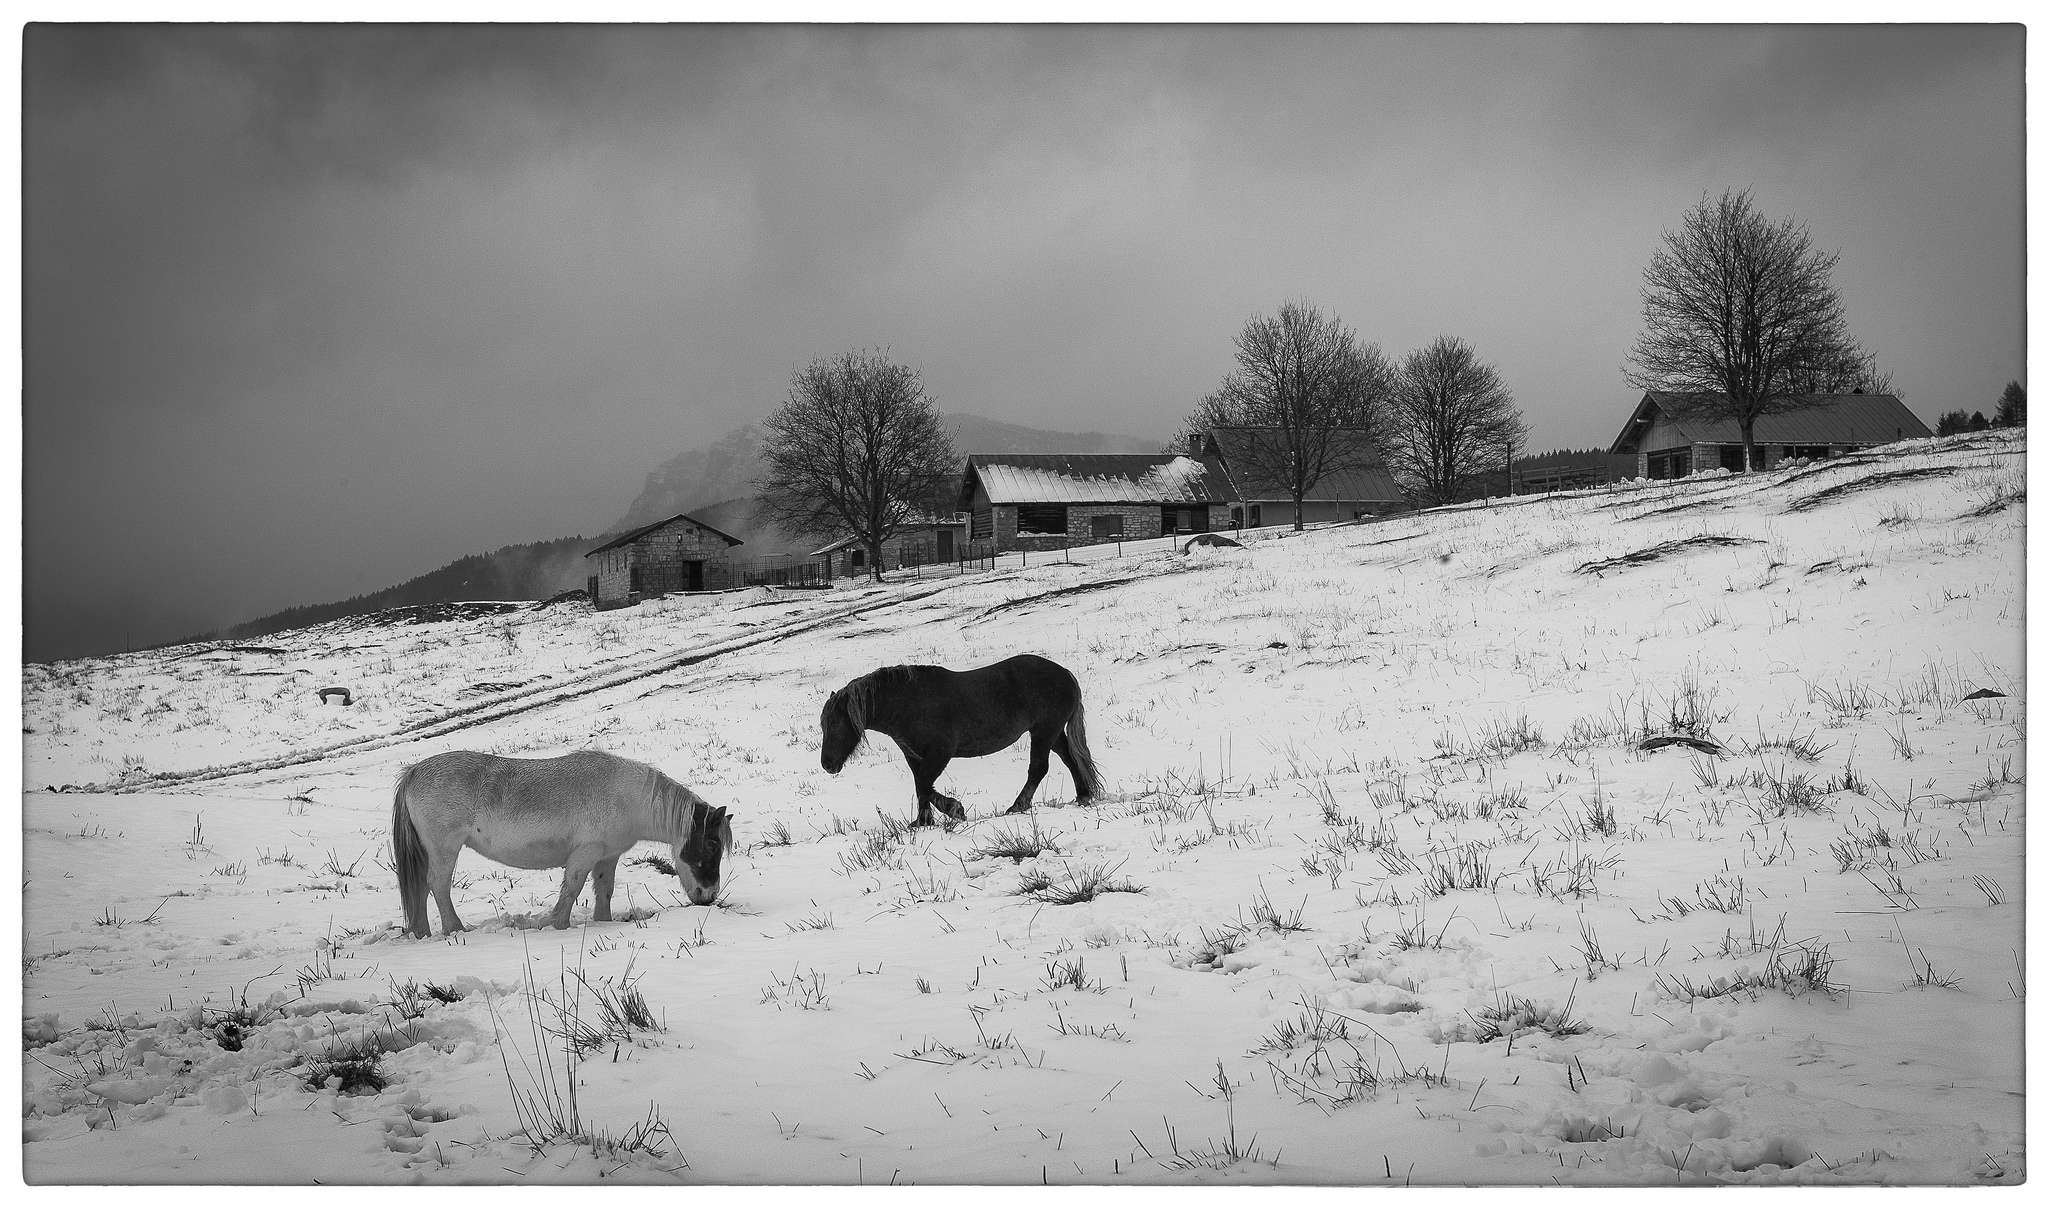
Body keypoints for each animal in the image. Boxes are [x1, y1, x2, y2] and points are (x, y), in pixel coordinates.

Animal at [390, 749, 734, 939]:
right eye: (712, 846)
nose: (709, 896)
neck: (627, 796)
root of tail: (413, 772)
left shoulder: (607, 856)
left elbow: (604, 890)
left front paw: (603, 923)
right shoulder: (585, 853)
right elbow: (572, 887)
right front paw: (558, 924)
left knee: (419, 886)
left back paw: (421, 933)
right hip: (444, 849)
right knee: (437, 884)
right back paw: (455, 930)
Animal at [819, 654, 1099, 826]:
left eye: (835, 723)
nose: (827, 764)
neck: (909, 703)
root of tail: (1065, 673)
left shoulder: (939, 753)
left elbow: (925, 786)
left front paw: (955, 810)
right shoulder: (914, 756)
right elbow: (920, 787)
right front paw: (922, 822)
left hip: (1043, 732)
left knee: (1039, 768)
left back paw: (1018, 806)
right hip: (1052, 734)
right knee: (1071, 761)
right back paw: (1083, 796)